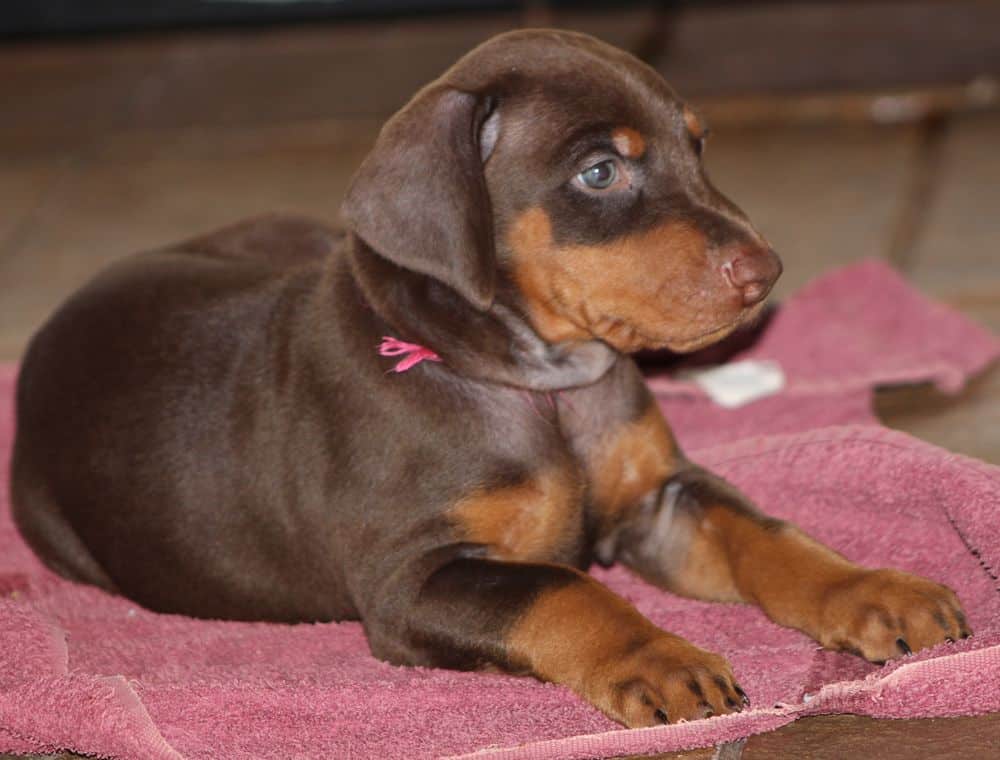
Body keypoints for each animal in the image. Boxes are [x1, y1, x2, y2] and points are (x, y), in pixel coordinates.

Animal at [9, 29, 968, 728]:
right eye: (600, 170)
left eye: (698, 146)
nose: (764, 272)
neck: (544, 382)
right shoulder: (414, 578)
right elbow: (564, 588)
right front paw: (658, 657)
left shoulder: (660, 498)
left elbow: (767, 534)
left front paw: (872, 589)